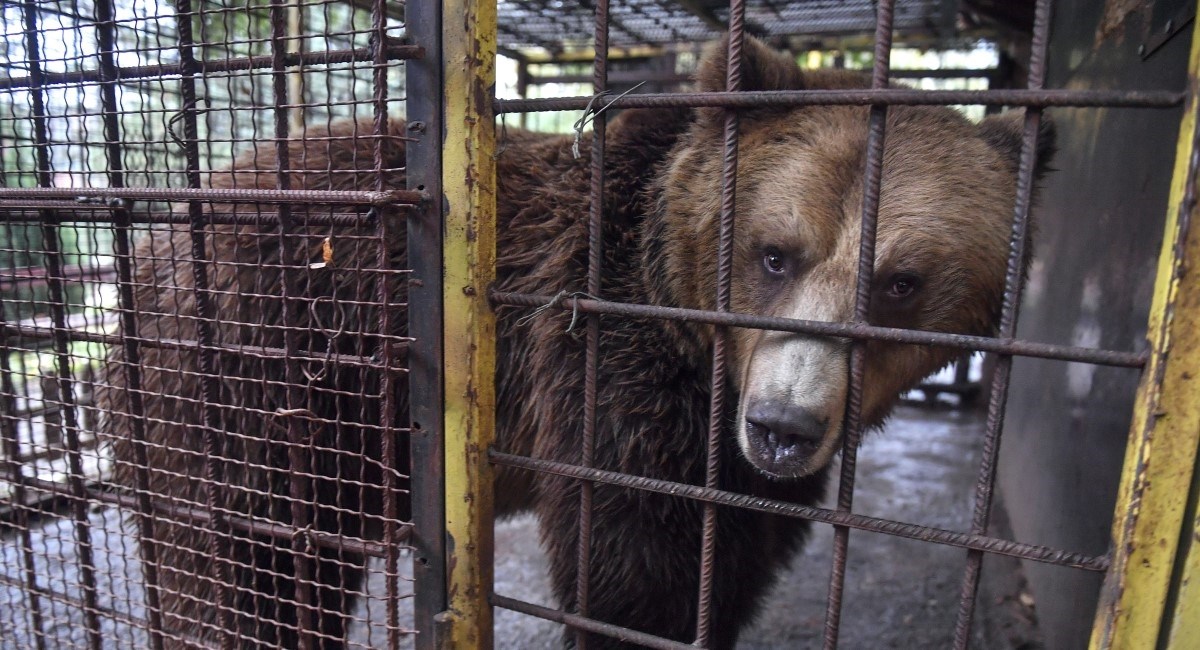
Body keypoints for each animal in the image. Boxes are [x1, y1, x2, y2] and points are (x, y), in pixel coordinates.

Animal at [100, 36, 1051, 650]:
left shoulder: (741, 470)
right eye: (775, 253)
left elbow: (730, 567)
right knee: (244, 565)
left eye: (901, 281)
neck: (696, 346)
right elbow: (632, 579)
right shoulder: (613, 377)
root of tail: (145, 246)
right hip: (254, 367)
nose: (783, 425)